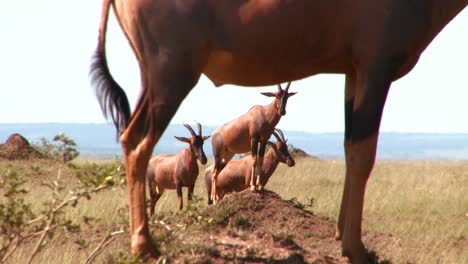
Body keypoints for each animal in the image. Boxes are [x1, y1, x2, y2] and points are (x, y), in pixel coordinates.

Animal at [89, 0, 466, 260]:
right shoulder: (376, 67)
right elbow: (363, 153)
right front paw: (356, 249)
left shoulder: (353, 71)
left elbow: (348, 149)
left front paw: (340, 234)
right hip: (172, 75)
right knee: (137, 141)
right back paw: (145, 247)